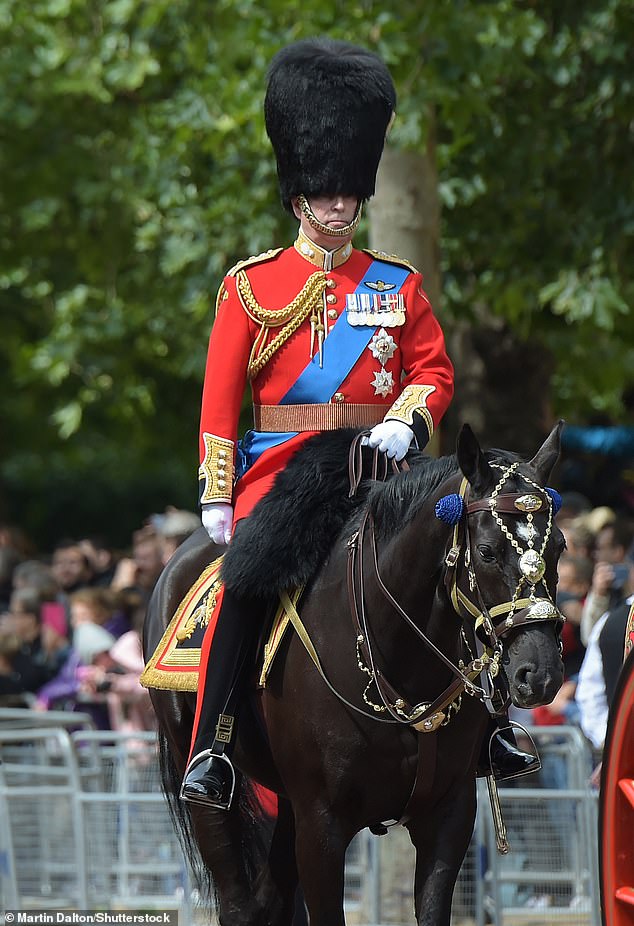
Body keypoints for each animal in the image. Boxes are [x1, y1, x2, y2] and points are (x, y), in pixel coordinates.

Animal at [144, 426, 564, 926]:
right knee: (240, 903)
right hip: (206, 781)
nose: (540, 673)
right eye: (486, 552)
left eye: (559, 547)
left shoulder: (449, 814)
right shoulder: (322, 825)